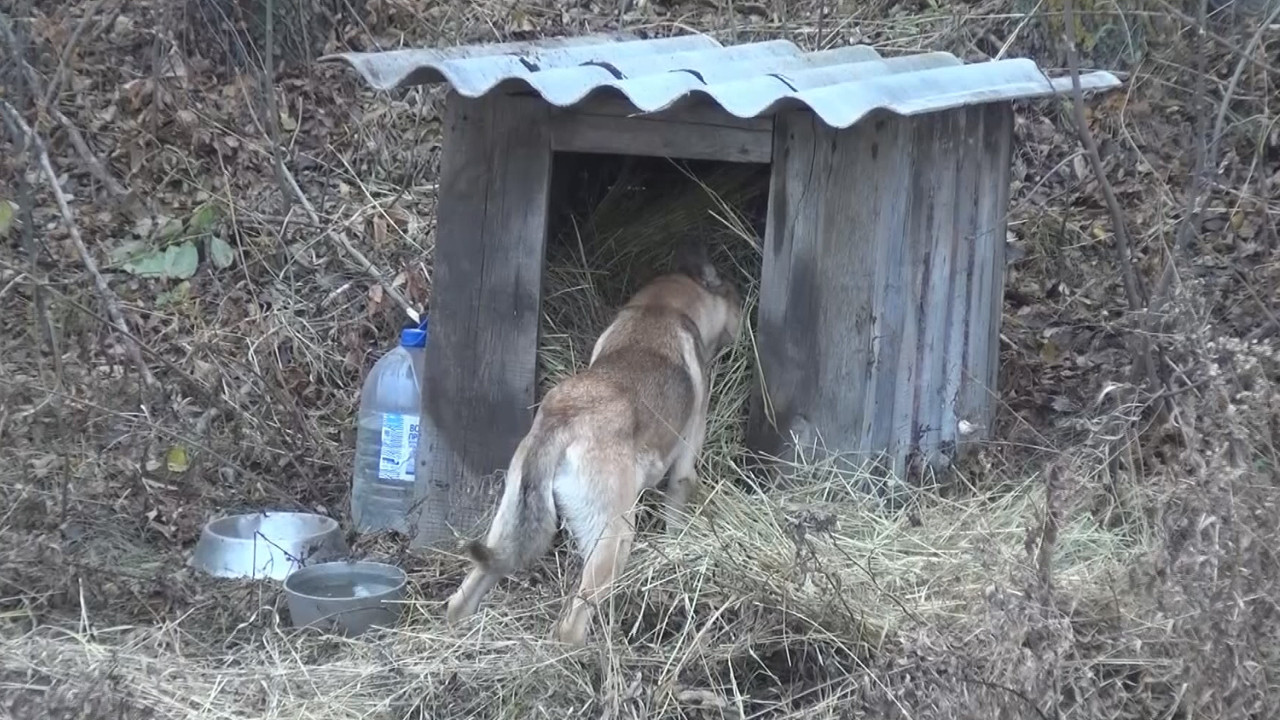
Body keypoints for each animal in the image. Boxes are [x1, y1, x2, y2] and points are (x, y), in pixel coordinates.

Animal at [448, 242, 747, 645]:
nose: (744, 319)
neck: (662, 308)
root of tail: (562, 421)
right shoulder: (686, 458)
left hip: (508, 524)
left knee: (464, 595)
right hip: (613, 536)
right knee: (572, 622)